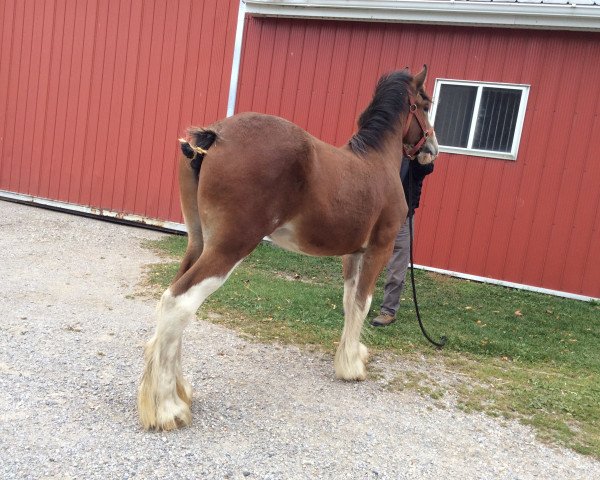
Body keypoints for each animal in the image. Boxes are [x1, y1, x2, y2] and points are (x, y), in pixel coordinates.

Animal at [138, 65, 438, 430]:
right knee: (179, 303)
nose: (432, 149)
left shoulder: (352, 253)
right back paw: (169, 408)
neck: (375, 162)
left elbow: (349, 301)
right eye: (425, 105)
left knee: (173, 299)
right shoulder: (378, 249)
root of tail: (216, 135)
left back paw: (179, 392)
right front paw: (352, 366)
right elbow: (363, 302)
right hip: (229, 248)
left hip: (198, 243)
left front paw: (350, 354)